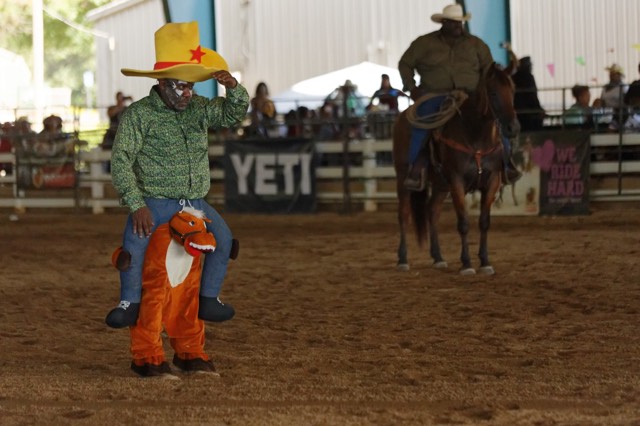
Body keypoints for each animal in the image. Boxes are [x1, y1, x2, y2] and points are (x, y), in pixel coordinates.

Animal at [392, 62, 524, 274]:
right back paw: (403, 260)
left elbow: (484, 222)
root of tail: (403, 116)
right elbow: (463, 222)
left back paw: (438, 257)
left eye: (512, 90)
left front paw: (485, 262)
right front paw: (467, 264)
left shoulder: (493, 181)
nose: (513, 128)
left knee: (432, 212)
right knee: (403, 214)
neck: (476, 136)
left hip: (440, 185)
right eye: (493, 92)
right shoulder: (457, 181)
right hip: (403, 177)